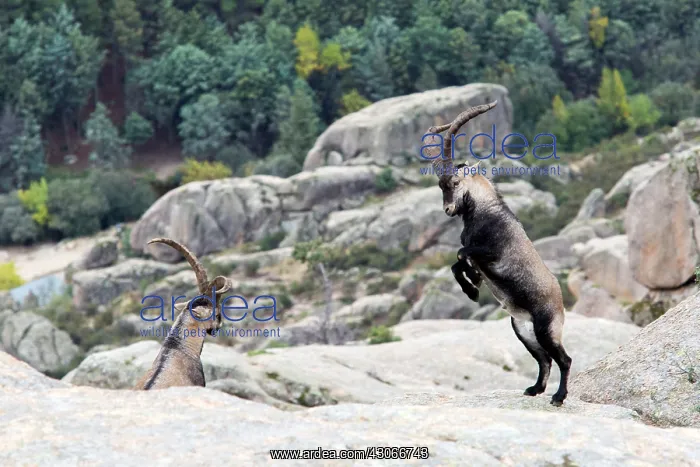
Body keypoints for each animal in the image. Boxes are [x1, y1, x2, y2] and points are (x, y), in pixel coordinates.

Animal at [423, 103, 572, 406]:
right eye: (440, 185)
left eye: (455, 182)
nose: (448, 210)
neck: (485, 212)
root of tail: (561, 305)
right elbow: (457, 262)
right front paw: (473, 285)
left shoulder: (492, 252)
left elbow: (461, 254)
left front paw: (472, 286)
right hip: (523, 331)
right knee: (544, 360)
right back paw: (534, 389)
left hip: (546, 328)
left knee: (563, 359)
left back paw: (558, 397)